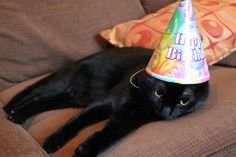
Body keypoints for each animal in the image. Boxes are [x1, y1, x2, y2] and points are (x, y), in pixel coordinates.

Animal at [2, 47, 209, 157]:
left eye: (184, 101)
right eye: (159, 92)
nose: (166, 113)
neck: (141, 103)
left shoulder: (127, 120)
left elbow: (108, 136)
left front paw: (86, 149)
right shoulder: (104, 103)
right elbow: (76, 122)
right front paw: (53, 140)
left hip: (74, 97)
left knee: (44, 101)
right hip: (62, 84)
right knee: (36, 94)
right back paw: (14, 112)